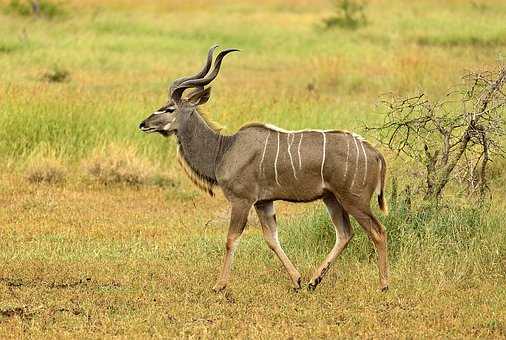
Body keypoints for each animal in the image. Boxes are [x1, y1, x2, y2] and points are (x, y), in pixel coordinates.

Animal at [136, 43, 390, 290]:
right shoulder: (263, 202)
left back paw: (383, 285)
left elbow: (231, 239)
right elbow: (271, 238)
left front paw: (220, 286)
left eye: (169, 109)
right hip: (331, 198)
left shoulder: (242, 200)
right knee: (344, 234)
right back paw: (313, 281)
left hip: (353, 199)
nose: (143, 124)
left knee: (378, 231)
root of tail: (375, 153)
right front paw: (297, 280)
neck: (223, 149)